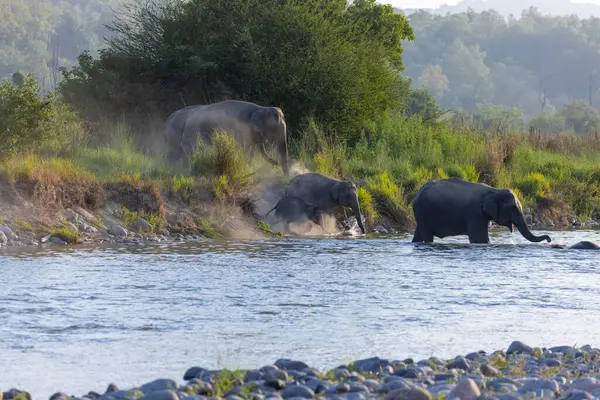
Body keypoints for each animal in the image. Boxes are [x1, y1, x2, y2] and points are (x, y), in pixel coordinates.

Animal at [410, 177, 552, 244]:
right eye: (515, 210)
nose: (549, 240)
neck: (494, 190)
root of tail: (417, 194)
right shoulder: (475, 213)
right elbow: (479, 239)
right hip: (424, 213)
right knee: (427, 235)